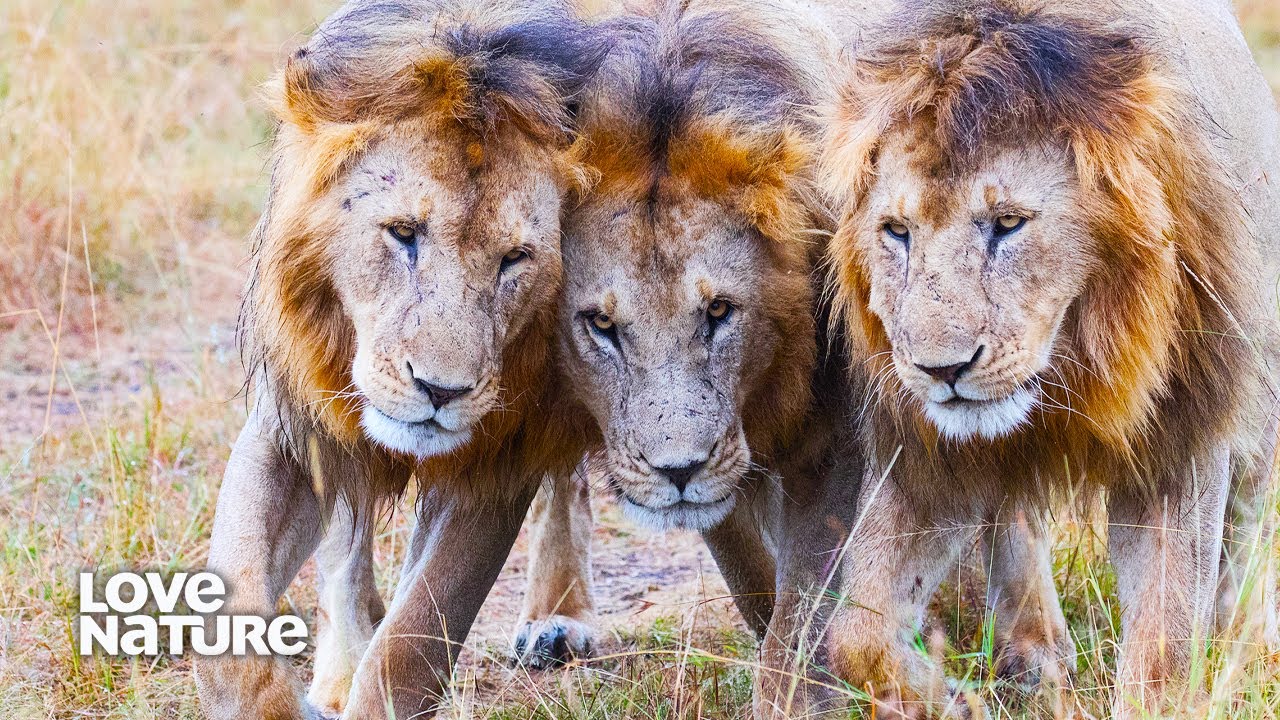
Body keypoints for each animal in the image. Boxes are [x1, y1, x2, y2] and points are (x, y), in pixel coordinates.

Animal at [192, 2, 607, 718]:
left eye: (514, 259)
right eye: (403, 234)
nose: (441, 391)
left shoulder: (498, 454)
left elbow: (414, 640)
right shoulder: (292, 421)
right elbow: (235, 611)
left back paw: (557, 617)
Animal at [807, 0, 1280, 717]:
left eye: (1008, 223)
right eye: (897, 231)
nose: (941, 370)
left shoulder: (1182, 440)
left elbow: (1163, 648)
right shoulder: (927, 455)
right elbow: (856, 636)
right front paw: (956, 698)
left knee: (1245, 525)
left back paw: (1234, 635)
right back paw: (1035, 651)